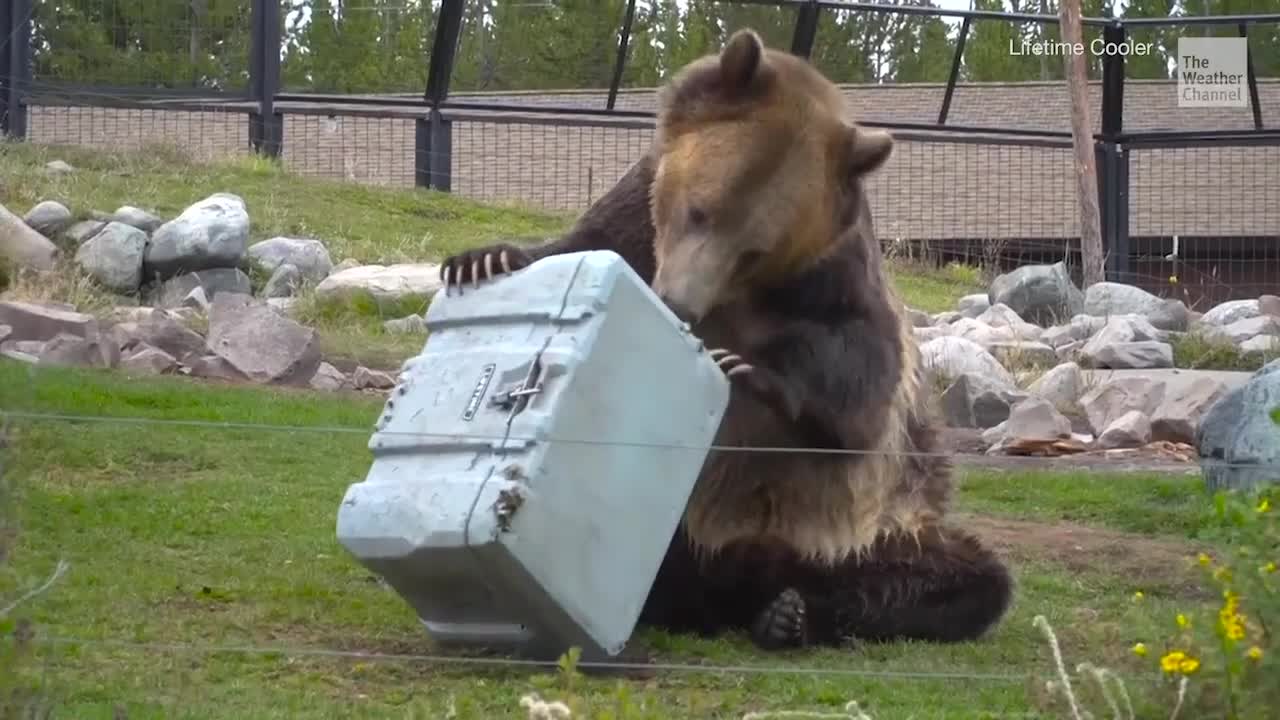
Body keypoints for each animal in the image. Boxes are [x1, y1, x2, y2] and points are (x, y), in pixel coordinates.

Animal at [438, 28, 1013, 652]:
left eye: (754, 250)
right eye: (699, 209)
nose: (679, 303)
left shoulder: (832, 281)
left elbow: (858, 384)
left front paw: (752, 373)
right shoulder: (636, 213)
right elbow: (581, 240)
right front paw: (484, 259)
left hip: (864, 533)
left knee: (963, 577)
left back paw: (790, 615)